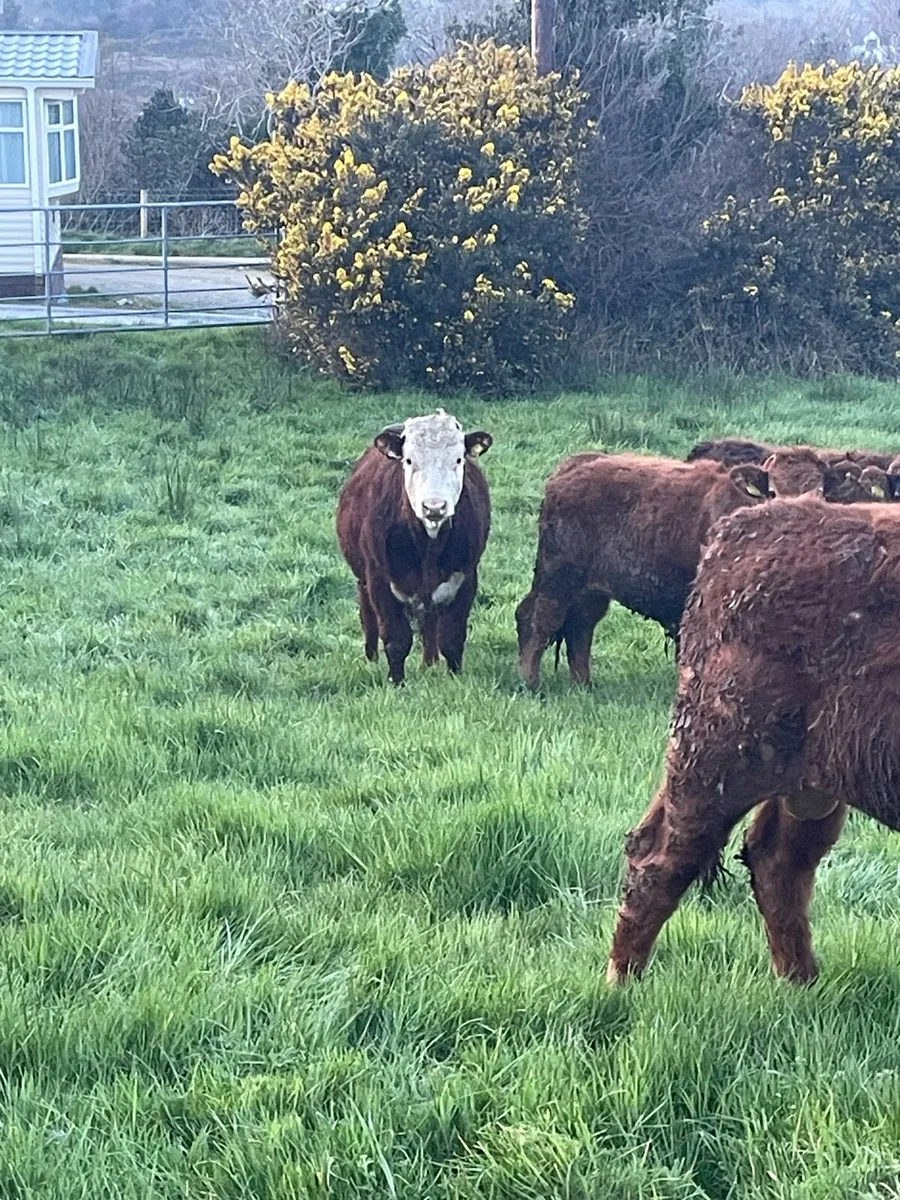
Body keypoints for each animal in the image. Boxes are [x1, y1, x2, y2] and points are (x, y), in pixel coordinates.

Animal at [336, 410, 492, 685]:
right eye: (409, 461)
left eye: (458, 459)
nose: (434, 507)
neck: (428, 546)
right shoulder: (379, 580)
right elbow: (397, 640)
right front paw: (396, 683)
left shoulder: (466, 578)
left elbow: (452, 638)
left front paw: (454, 678)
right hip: (363, 579)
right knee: (367, 612)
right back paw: (371, 657)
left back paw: (429, 663)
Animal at [515, 454, 772, 690]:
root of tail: (570, 468)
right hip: (559, 579)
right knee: (540, 619)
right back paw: (531, 683)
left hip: (590, 590)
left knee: (580, 627)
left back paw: (583, 685)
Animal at [607, 496, 900, 986]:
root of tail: (741, 528)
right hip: (712, 767)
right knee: (661, 861)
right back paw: (621, 984)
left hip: (806, 785)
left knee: (778, 862)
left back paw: (802, 982)